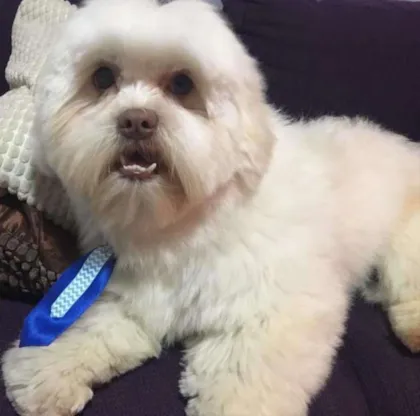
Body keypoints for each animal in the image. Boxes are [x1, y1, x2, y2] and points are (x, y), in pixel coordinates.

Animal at [3, 0, 420, 415]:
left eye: (182, 84)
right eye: (103, 77)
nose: (136, 120)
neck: (177, 225)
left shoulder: (274, 309)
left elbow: (246, 377)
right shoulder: (132, 299)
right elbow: (92, 329)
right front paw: (44, 370)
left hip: (405, 243)